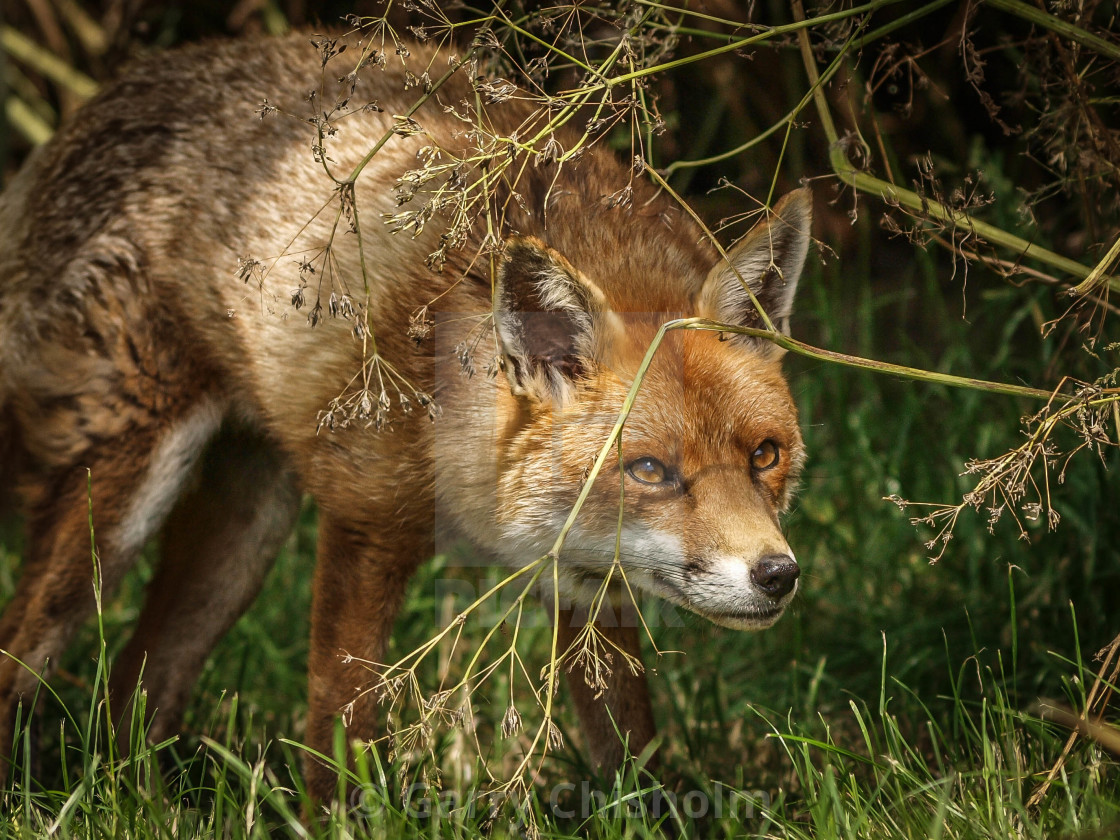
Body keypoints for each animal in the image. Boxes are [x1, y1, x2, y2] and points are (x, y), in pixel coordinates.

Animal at [0, 31, 810, 801]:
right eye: (649, 470)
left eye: (764, 456)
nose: (779, 575)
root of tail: (115, 90)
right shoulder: (366, 526)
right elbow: (341, 728)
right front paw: (333, 822)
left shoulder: (586, 578)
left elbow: (627, 748)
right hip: (116, 509)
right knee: (24, 657)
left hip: (246, 534)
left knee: (135, 688)